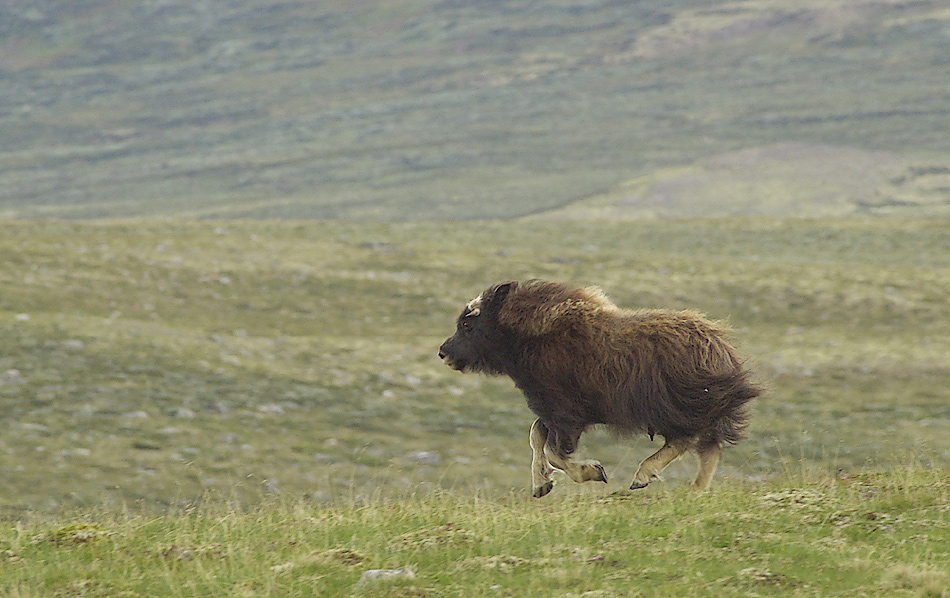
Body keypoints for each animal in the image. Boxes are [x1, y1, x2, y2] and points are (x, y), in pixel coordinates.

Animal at [440, 280, 768, 496]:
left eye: (468, 324)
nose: (443, 352)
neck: (526, 339)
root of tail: (718, 345)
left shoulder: (564, 413)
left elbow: (554, 450)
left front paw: (594, 472)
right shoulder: (550, 410)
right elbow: (536, 436)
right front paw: (542, 484)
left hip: (675, 408)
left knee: (688, 441)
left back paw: (643, 477)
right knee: (708, 448)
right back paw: (694, 490)